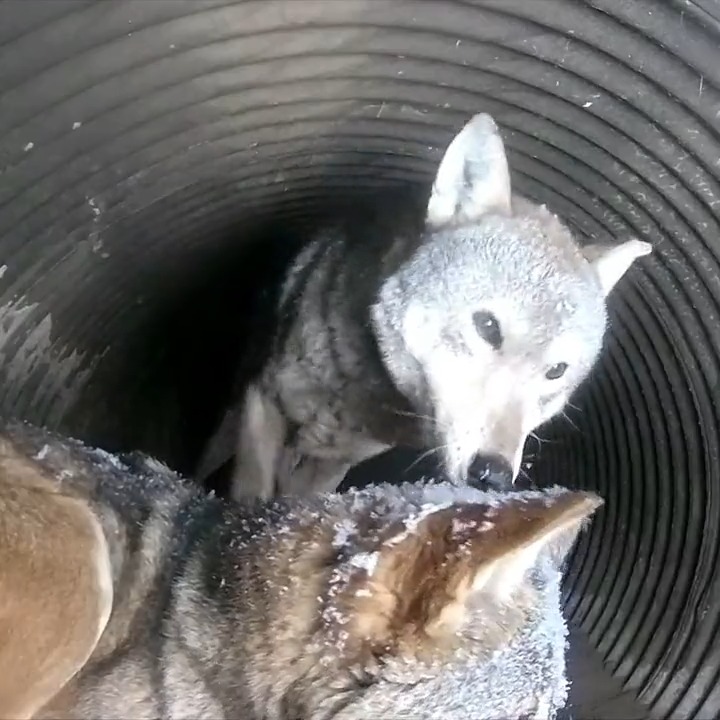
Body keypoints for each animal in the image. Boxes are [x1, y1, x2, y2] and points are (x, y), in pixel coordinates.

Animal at [195, 112, 652, 501]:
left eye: (555, 371)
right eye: (488, 327)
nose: (494, 473)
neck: (360, 392)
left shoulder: (333, 462)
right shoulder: (262, 404)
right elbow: (248, 496)